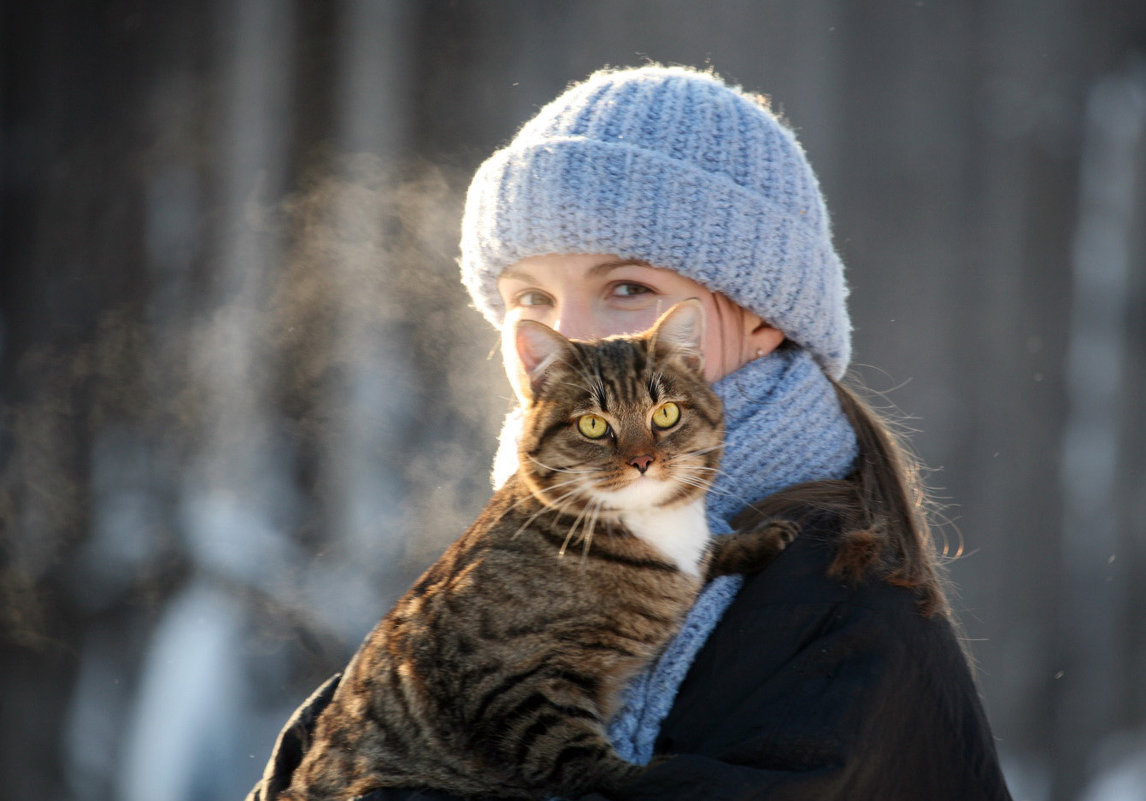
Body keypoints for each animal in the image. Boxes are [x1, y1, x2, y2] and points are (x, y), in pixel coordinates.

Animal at [280, 302, 797, 801]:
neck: (648, 526)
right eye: (593, 425)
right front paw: (648, 776)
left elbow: (709, 556)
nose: (643, 461)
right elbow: (576, 756)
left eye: (666, 414)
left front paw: (763, 538)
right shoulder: (513, 680)